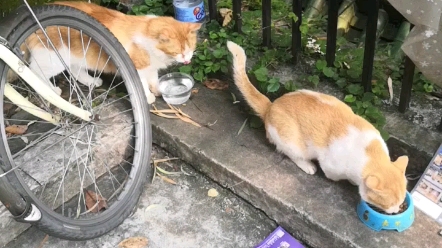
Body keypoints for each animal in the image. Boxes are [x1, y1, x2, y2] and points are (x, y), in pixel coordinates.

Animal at [19, 1, 201, 103]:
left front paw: (157, 90)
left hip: (76, 55)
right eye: (178, 51)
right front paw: (148, 97)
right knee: (35, 72)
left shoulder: (150, 67)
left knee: (75, 70)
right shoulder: (138, 68)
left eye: (190, 48)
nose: (187, 60)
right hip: (53, 58)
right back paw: (52, 91)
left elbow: (154, 79)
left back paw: (92, 82)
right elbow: (143, 84)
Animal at [226, 40, 410, 213]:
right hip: (292, 142)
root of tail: (271, 106)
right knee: (290, 153)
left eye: (401, 201)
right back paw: (307, 165)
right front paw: (351, 181)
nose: (396, 210)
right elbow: (335, 176)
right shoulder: (331, 166)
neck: (370, 153)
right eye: (390, 204)